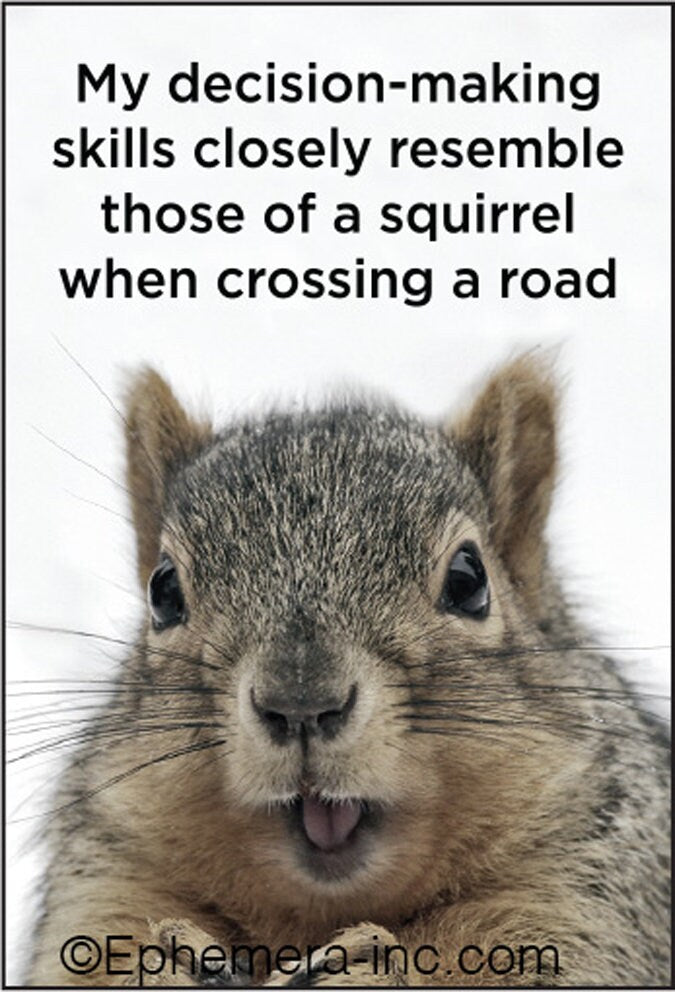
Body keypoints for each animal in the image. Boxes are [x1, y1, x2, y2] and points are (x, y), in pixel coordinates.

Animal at [27, 356, 670, 987]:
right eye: (162, 591)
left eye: (469, 579)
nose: (301, 703)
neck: (325, 910)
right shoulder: (108, 878)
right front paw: (169, 961)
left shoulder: (587, 893)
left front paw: (368, 966)